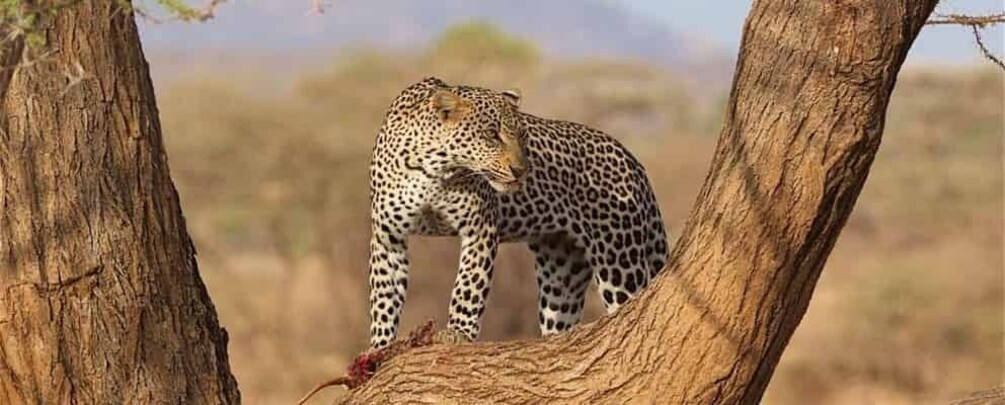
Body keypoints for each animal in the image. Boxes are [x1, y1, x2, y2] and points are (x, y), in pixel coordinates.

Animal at [366, 77, 669, 349]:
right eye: (491, 135)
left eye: (522, 137)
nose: (521, 171)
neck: (433, 168)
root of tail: (632, 159)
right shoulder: (387, 237)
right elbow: (383, 297)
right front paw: (379, 347)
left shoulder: (481, 229)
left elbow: (468, 286)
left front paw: (457, 333)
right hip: (562, 273)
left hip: (618, 260)